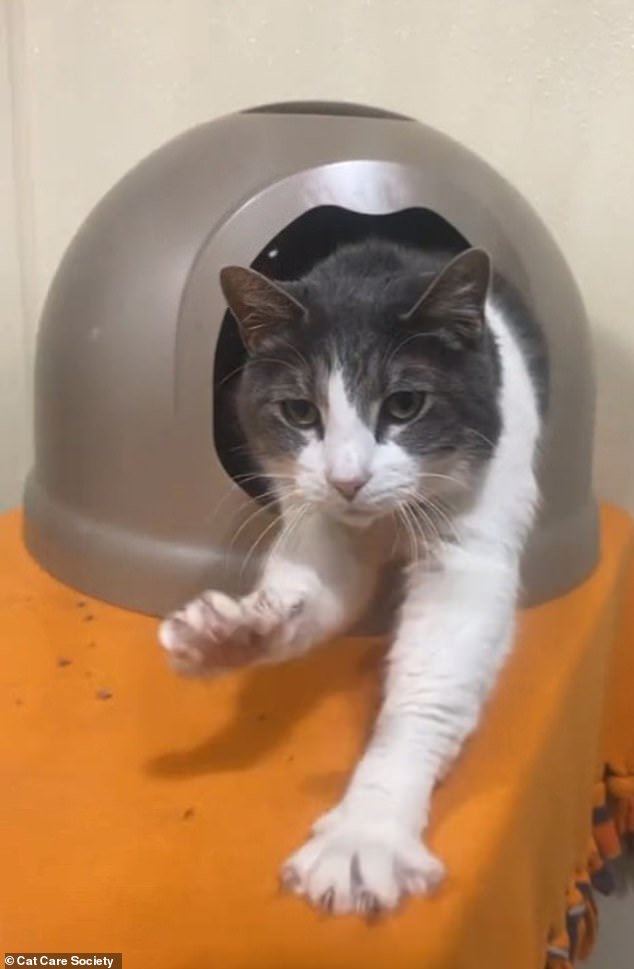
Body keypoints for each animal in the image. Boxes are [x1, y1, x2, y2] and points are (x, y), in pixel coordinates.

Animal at [157, 240, 544, 916]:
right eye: (300, 412)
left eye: (405, 405)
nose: (348, 480)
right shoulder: (316, 519)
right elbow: (312, 595)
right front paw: (230, 636)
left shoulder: (470, 550)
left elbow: (428, 689)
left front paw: (367, 834)